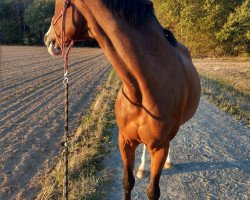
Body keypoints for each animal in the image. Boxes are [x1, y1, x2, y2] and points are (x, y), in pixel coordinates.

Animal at [44, 0, 201, 199]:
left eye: (58, 4)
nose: (48, 38)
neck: (142, 91)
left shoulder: (159, 148)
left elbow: (153, 191)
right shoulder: (125, 141)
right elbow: (127, 182)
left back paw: (167, 162)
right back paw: (142, 168)